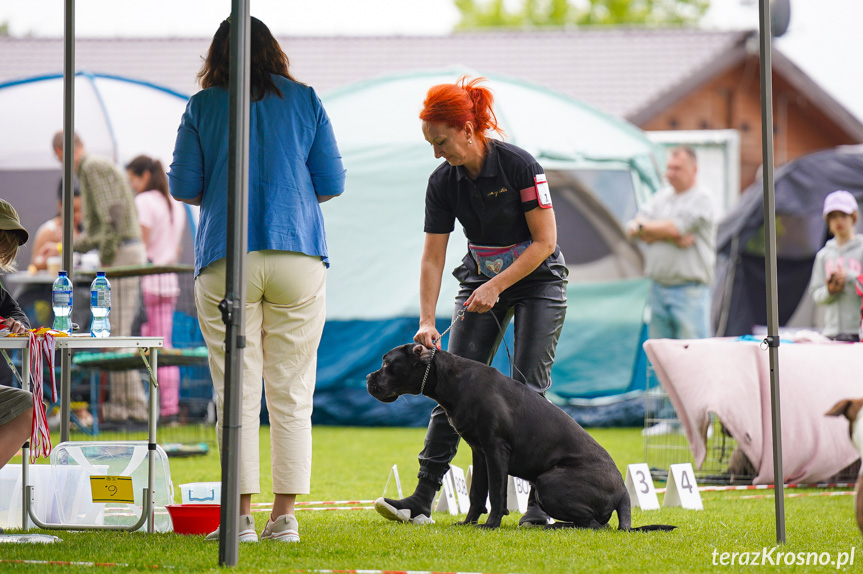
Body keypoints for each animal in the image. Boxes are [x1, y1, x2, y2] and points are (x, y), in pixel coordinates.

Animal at [364, 344, 676, 532]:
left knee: (594, 525)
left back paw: (551, 526)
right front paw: (468, 522)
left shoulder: (496, 449)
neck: (453, 380)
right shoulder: (480, 451)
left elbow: (497, 493)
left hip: (549, 481)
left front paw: (490, 525)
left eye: (387, 363)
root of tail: (623, 491)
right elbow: (477, 492)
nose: (368, 377)